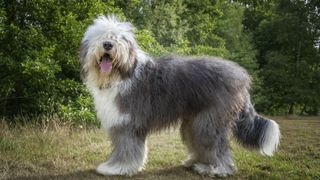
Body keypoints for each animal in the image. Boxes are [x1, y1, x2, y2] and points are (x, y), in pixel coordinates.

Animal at [80, 15, 280, 177]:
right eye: (100, 36)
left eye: (119, 38)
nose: (107, 44)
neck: (122, 74)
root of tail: (241, 78)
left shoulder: (127, 123)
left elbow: (126, 147)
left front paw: (116, 168)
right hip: (195, 119)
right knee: (199, 142)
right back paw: (195, 162)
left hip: (210, 120)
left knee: (216, 146)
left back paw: (216, 169)